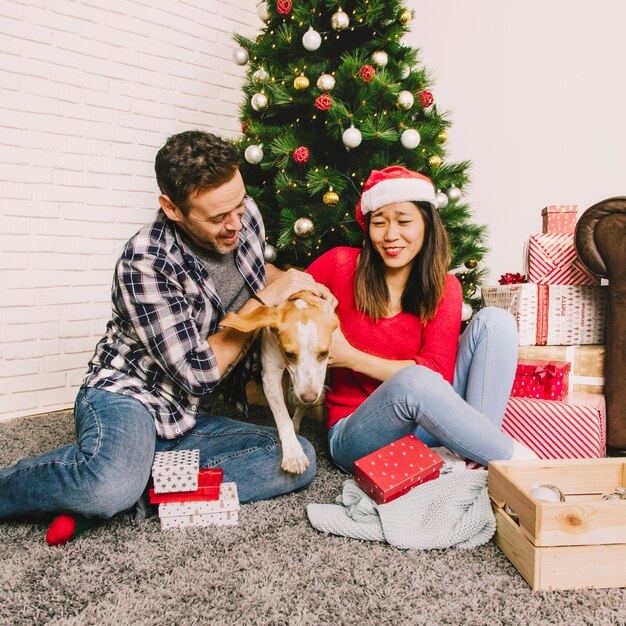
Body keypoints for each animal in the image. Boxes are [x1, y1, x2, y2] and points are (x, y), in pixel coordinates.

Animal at [219, 290, 336, 470]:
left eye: (324, 353)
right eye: (289, 354)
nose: (310, 398)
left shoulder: (320, 375)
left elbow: (301, 403)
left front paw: (297, 420)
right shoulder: (270, 376)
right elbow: (283, 416)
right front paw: (293, 453)